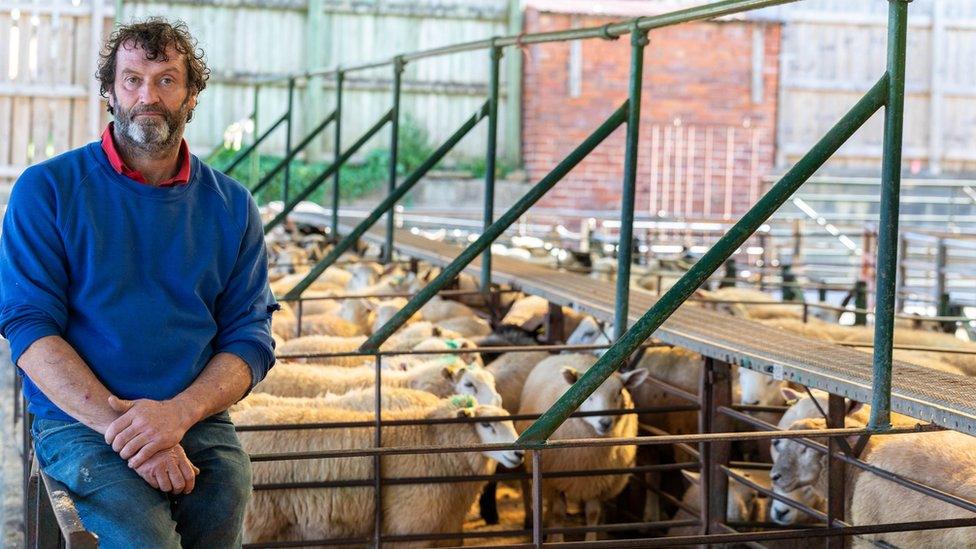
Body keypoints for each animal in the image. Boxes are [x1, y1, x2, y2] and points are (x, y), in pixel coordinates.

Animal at [516, 354, 652, 540]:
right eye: (588, 393)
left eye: (619, 392)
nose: (605, 422)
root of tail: (570, 354)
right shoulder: (555, 481)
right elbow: (559, 513)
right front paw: (556, 540)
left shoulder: (596, 481)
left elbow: (593, 513)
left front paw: (591, 539)